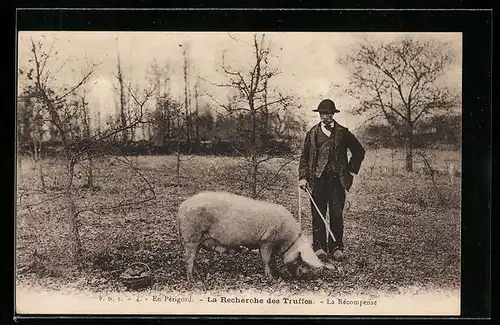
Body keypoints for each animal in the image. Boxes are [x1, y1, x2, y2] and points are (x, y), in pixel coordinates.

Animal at [176, 190, 324, 280]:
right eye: (300, 259)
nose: (304, 276)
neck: (288, 239)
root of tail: (182, 206)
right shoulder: (266, 241)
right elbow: (266, 259)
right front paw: (270, 278)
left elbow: (273, 260)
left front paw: (277, 273)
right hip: (191, 235)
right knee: (189, 258)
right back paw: (192, 279)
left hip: (197, 239)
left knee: (193, 257)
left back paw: (198, 274)